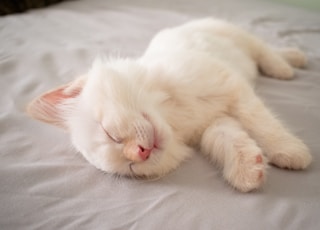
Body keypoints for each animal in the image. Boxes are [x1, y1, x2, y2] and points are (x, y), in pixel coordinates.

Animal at [27, 18, 312, 191]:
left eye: (111, 133)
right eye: (131, 167)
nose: (140, 152)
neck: (173, 115)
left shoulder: (233, 87)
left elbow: (263, 124)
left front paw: (289, 151)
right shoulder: (215, 123)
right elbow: (228, 140)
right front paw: (247, 170)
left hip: (234, 36)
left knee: (263, 49)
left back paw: (286, 65)